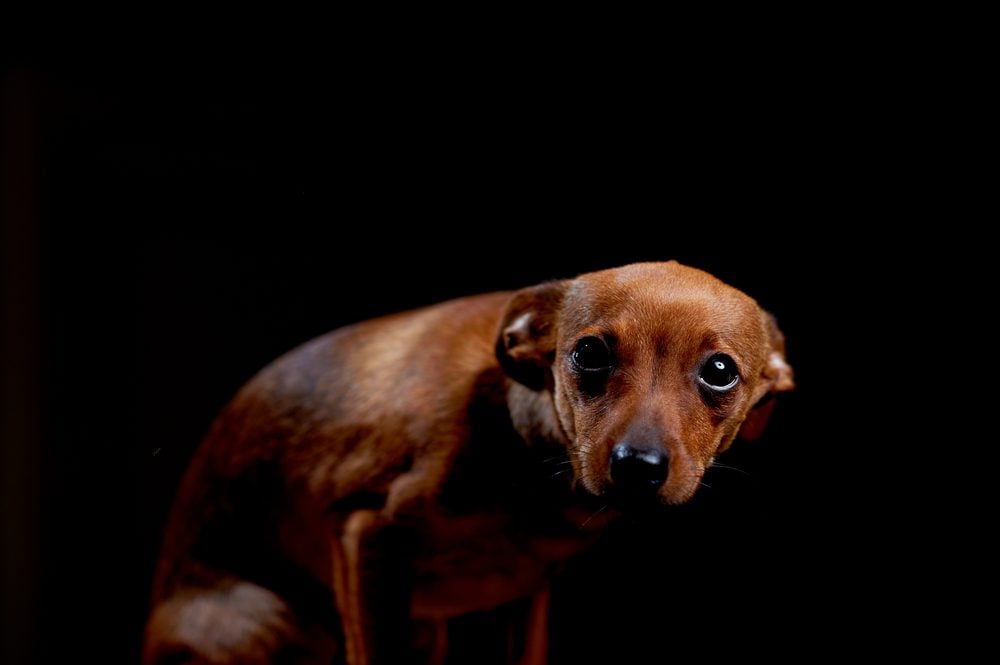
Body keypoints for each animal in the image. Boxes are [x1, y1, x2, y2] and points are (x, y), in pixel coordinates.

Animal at [145, 262, 792, 660]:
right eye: (589, 354)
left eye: (719, 372)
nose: (639, 465)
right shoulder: (367, 533)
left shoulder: (525, 598)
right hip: (266, 625)